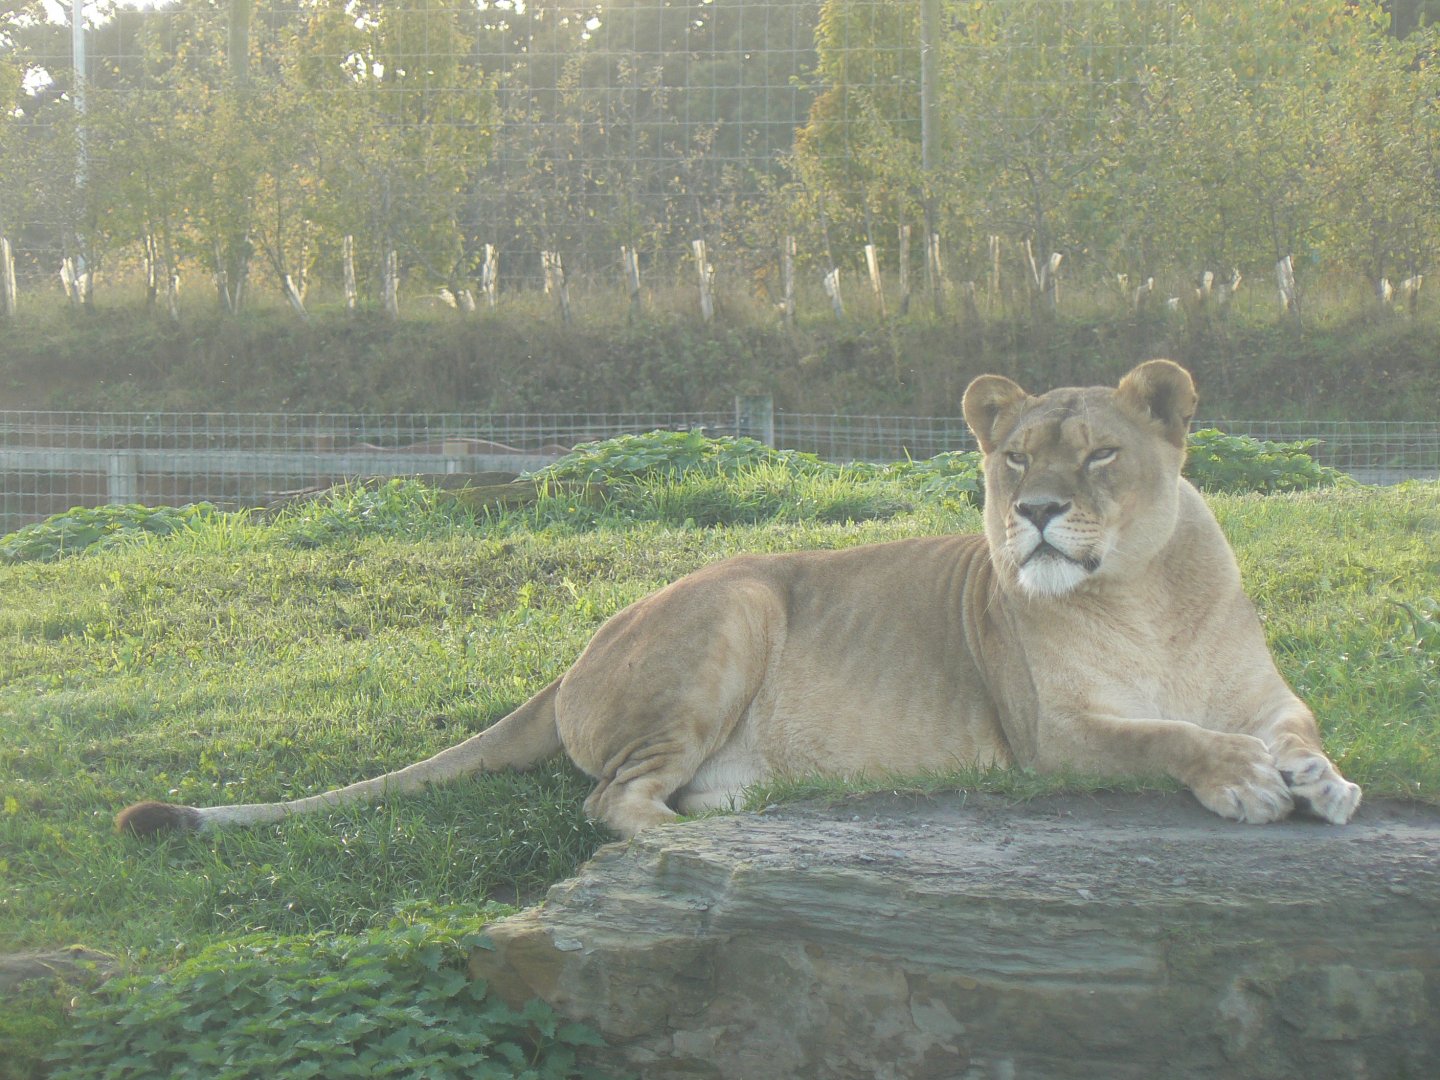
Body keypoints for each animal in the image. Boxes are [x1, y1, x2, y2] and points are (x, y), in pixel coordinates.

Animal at [115, 360, 1361, 841]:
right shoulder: (1047, 737)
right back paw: (692, 846)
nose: (1038, 512)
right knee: (609, 801)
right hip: (738, 606)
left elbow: (1298, 727)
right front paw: (1248, 781)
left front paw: (1319, 780)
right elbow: (1162, 736)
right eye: (1013, 457)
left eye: (1099, 454)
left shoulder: (1265, 693)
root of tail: (567, 664)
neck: (1146, 598)